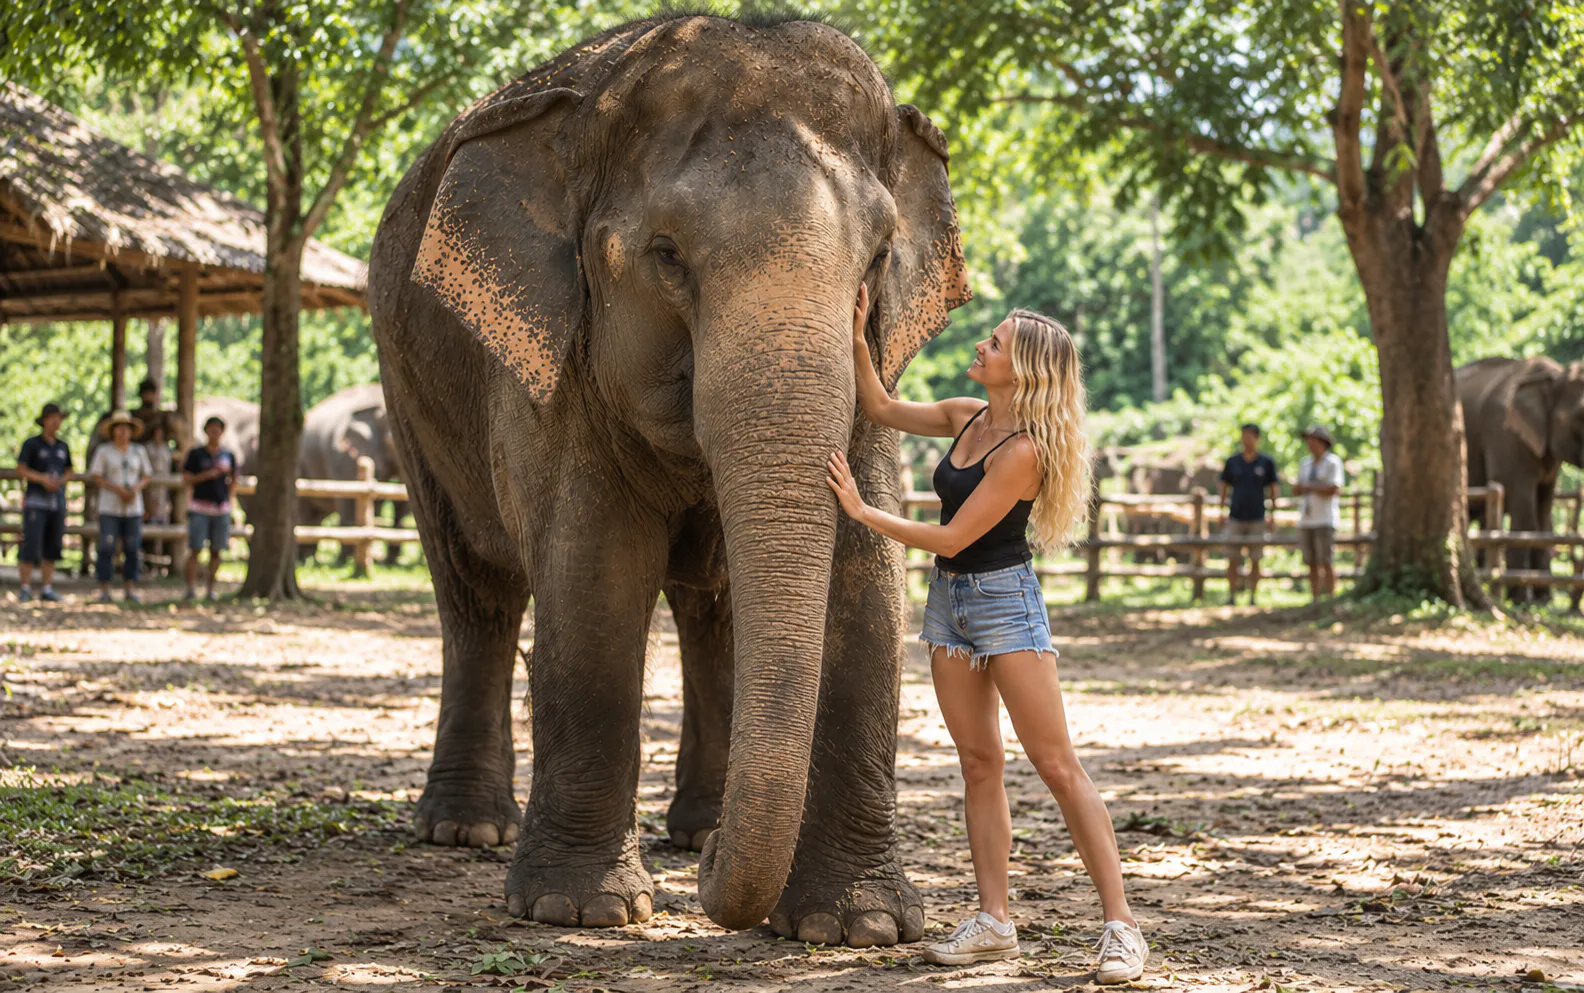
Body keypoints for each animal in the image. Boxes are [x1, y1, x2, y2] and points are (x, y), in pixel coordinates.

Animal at [297, 383, 408, 564]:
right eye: (393, 440)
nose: (390, 560)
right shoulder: (344, 457)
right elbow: (349, 497)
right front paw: (347, 560)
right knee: (304, 510)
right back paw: (304, 559)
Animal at [367, 13, 968, 946]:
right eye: (666, 254)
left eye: (876, 258)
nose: (720, 875)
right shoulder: (556, 367)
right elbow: (594, 572)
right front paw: (579, 909)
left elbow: (868, 580)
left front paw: (857, 925)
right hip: (410, 399)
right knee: (477, 592)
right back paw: (469, 829)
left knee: (709, 607)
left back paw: (694, 829)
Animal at [1458, 356, 1584, 604]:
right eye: (1581, 416)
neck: (1551, 378)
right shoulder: (1504, 435)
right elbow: (1526, 515)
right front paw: (1521, 600)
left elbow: (1544, 518)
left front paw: (1543, 599)